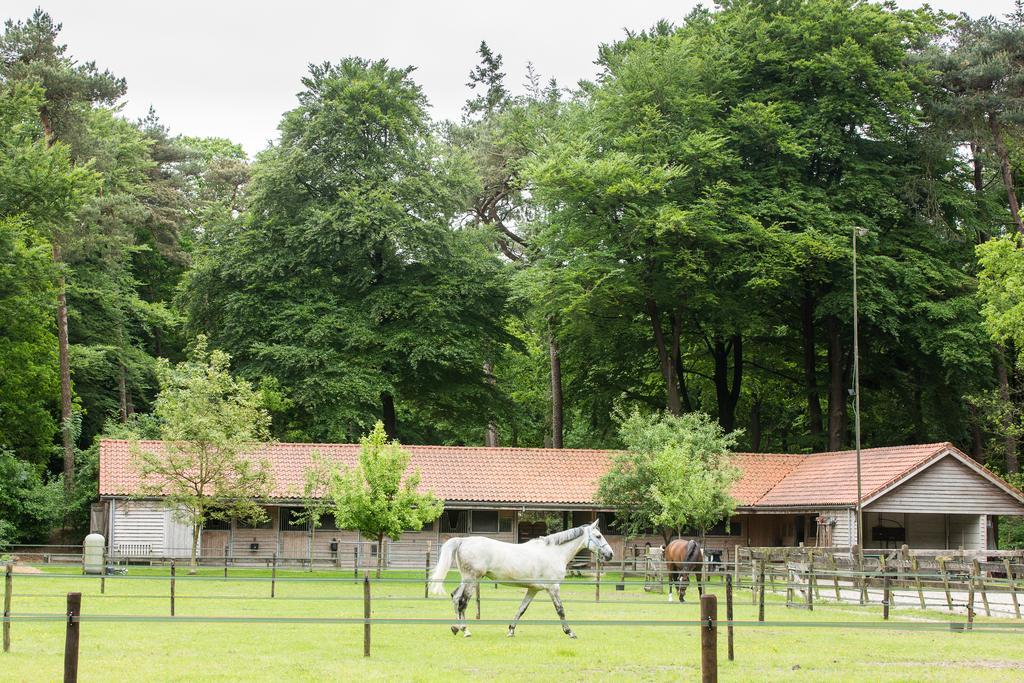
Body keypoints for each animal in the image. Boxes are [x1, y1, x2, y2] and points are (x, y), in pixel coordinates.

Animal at [428, 520, 610, 638]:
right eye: (598, 536)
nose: (610, 554)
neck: (554, 552)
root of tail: (463, 540)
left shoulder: (533, 589)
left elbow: (521, 609)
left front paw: (511, 630)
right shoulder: (553, 588)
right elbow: (560, 610)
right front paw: (570, 632)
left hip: (466, 579)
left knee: (455, 597)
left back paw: (455, 627)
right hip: (472, 579)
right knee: (462, 602)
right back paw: (465, 630)